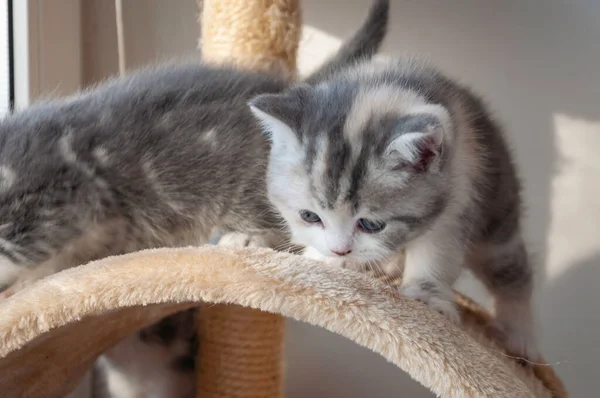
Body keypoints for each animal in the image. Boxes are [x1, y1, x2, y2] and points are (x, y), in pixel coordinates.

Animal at [248, 54, 540, 360]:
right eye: (309, 216)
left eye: (371, 224)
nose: (340, 250)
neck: (380, 84)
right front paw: (324, 258)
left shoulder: (458, 191)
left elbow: (438, 250)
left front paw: (426, 295)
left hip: (496, 208)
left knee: (510, 267)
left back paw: (520, 334)